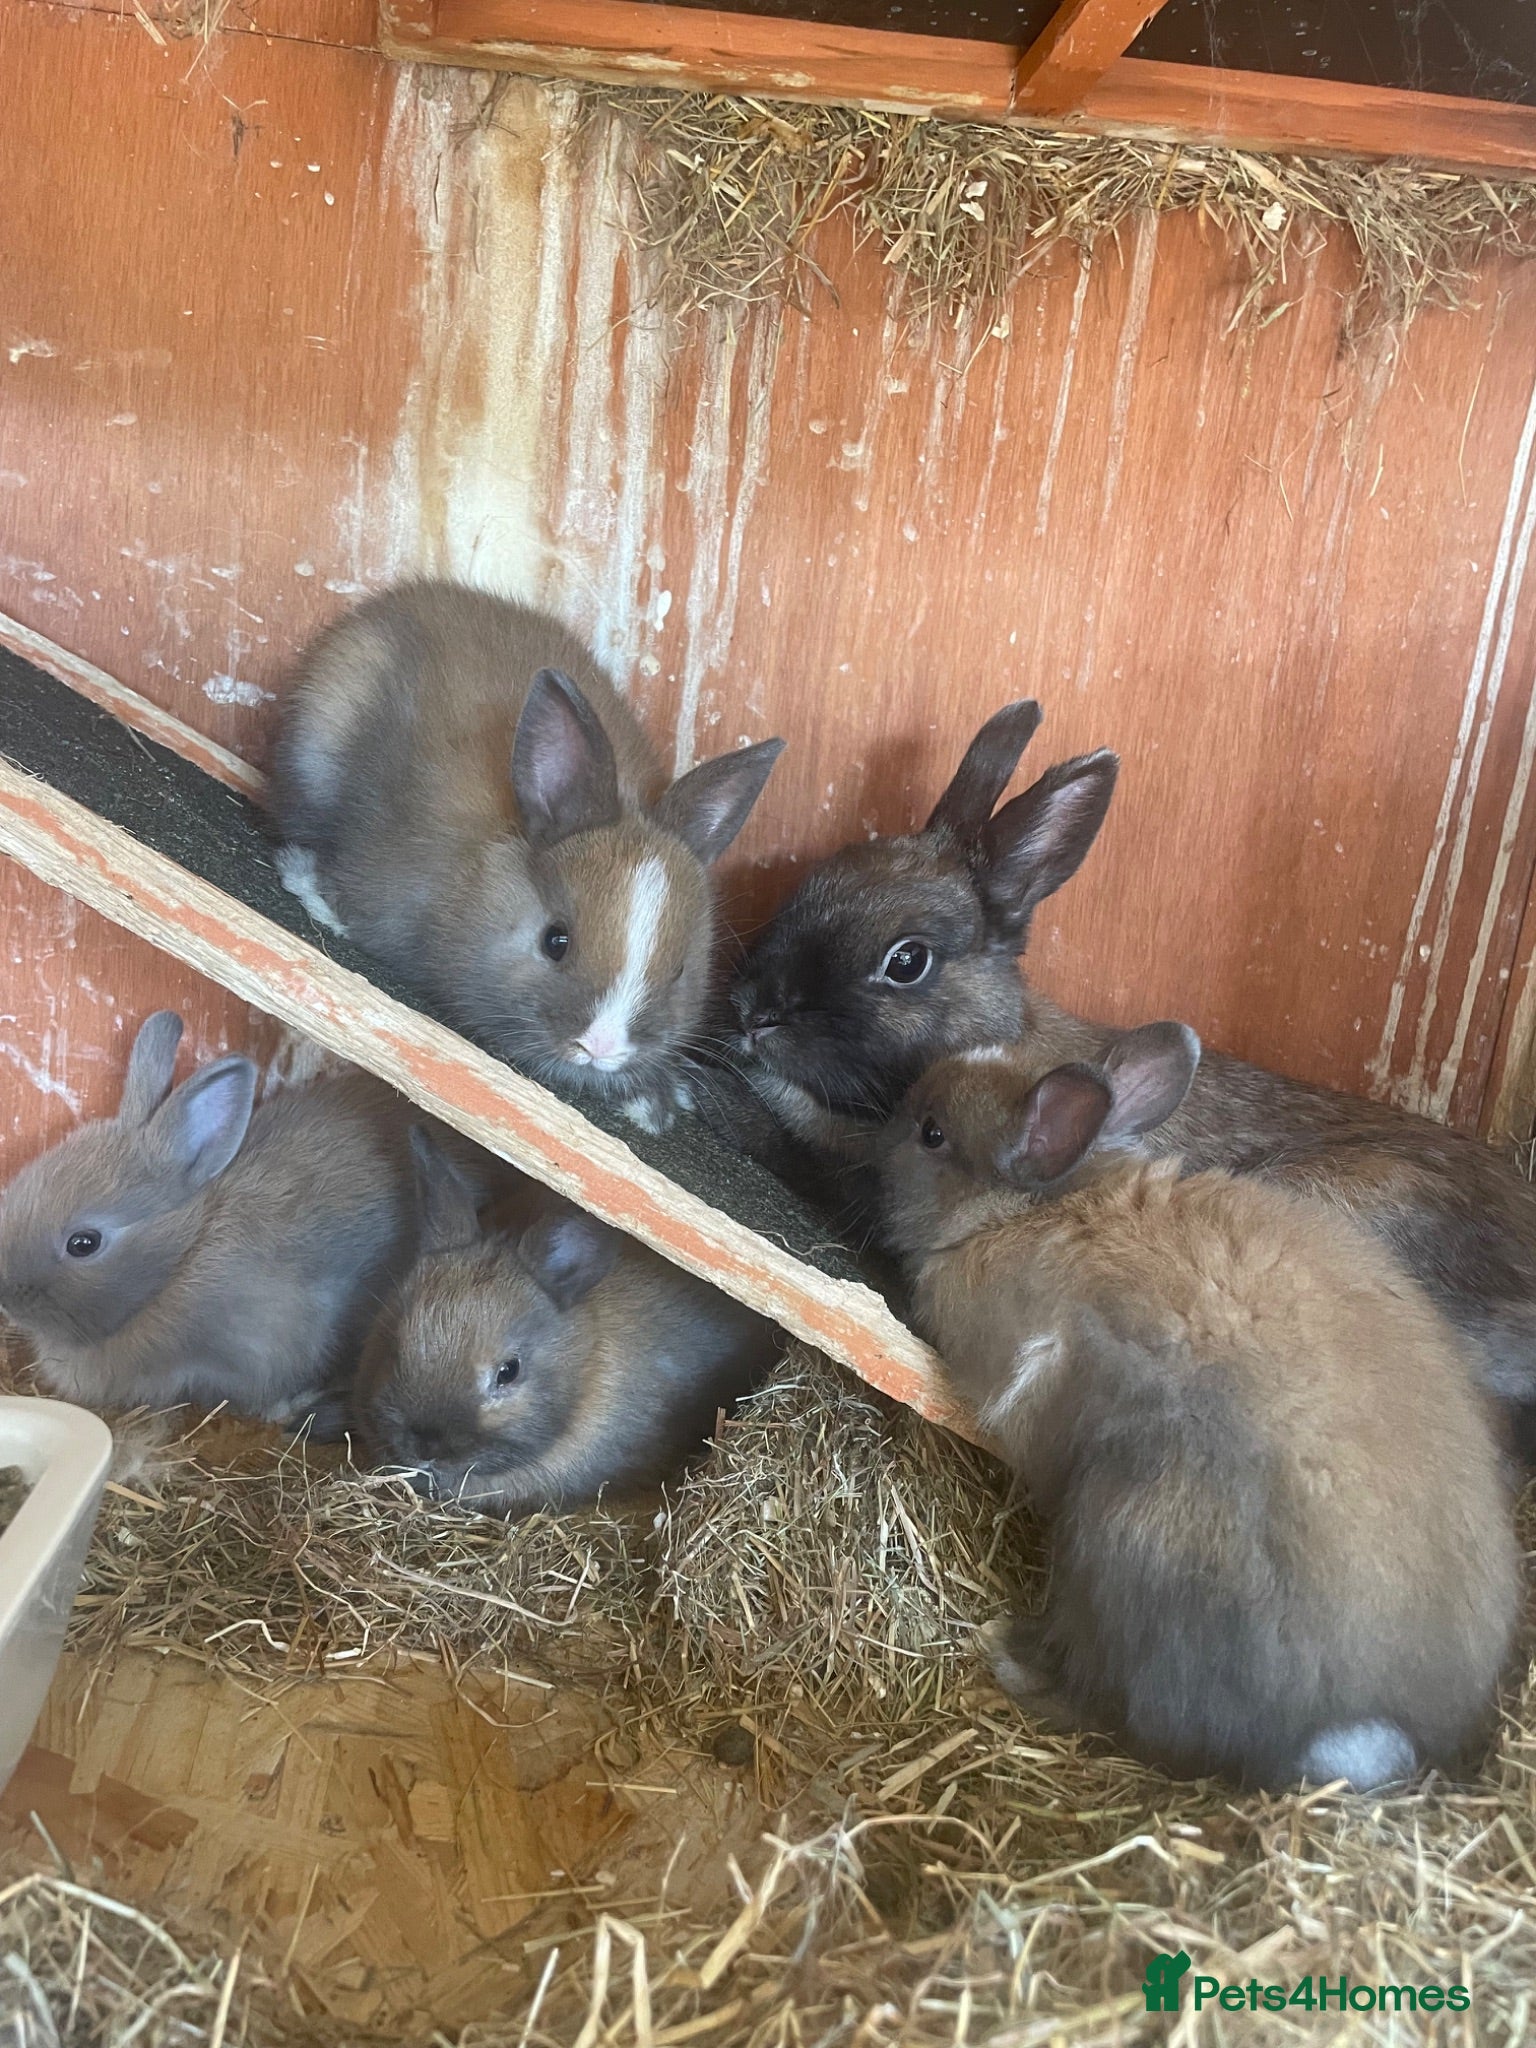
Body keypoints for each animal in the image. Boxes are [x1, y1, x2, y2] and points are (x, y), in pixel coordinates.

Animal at [878, 1025, 1521, 1791]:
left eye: (932, 1133)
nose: (885, 1120)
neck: (1043, 1206)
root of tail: (1364, 1727)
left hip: (1121, 1535)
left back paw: (1011, 1654)